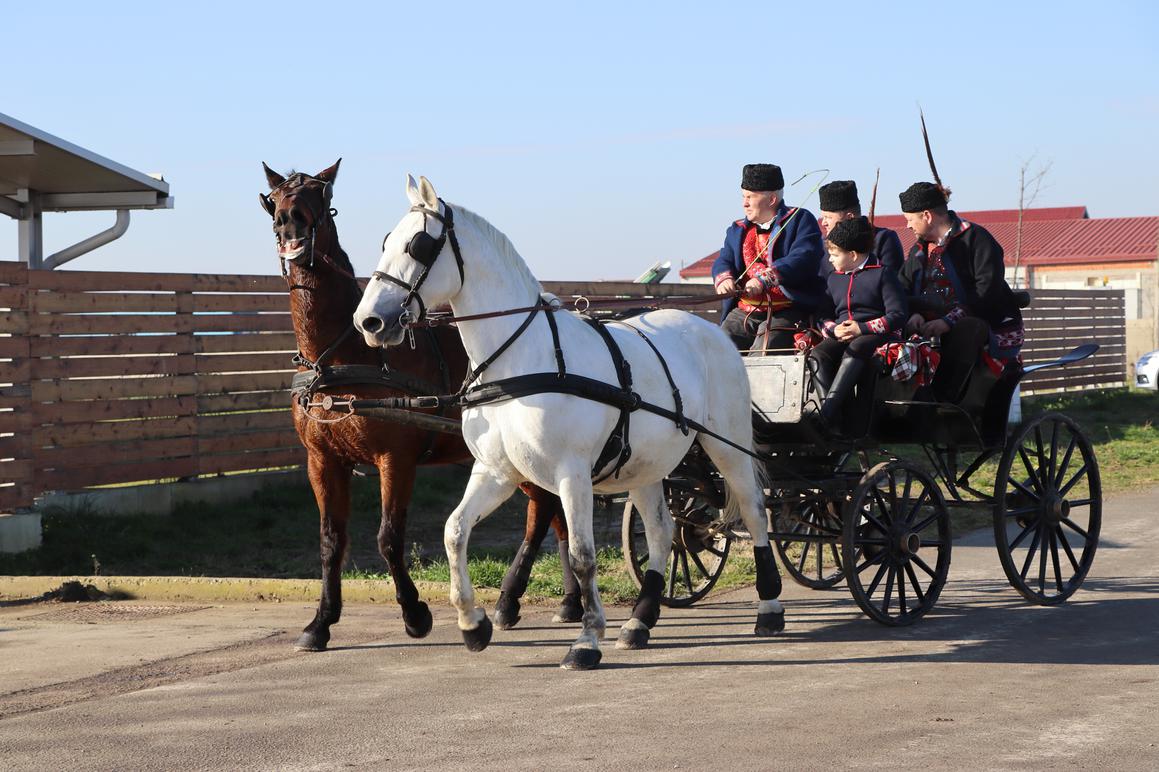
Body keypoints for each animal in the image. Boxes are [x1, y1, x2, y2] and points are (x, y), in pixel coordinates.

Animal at [258, 157, 574, 649]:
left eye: (321, 196)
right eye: (274, 198)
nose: (290, 222)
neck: (344, 357)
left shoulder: (396, 458)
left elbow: (389, 537)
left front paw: (414, 613)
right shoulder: (322, 460)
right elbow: (331, 540)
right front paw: (321, 622)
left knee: (545, 511)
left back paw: (532, 599)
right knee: (549, 512)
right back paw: (546, 601)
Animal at [356, 173, 783, 667]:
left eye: (419, 246)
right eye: (386, 241)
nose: (369, 321)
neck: (521, 359)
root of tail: (710, 329)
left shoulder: (571, 474)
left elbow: (581, 555)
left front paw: (586, 638)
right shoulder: (496, 471)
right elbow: (455, 531)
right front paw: (473, 623)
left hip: (727, 445)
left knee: (753, 512)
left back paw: (770, 608)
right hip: (646, 466)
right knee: (663, 532)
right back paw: (640, 620)